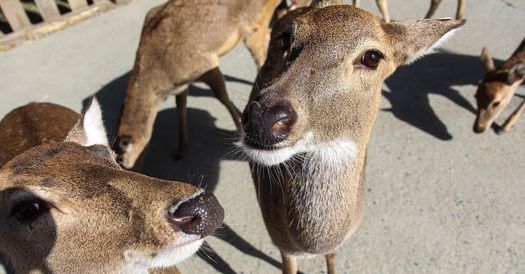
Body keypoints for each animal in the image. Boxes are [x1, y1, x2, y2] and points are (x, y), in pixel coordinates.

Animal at [113, 0, 312, 169]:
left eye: (120, 159)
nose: (133, 170)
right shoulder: (183, 84)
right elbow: (180, 108)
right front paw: (181, 149)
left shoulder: (207, 65)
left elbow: (222, 96)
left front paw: (239, 128)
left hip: (254, 25)